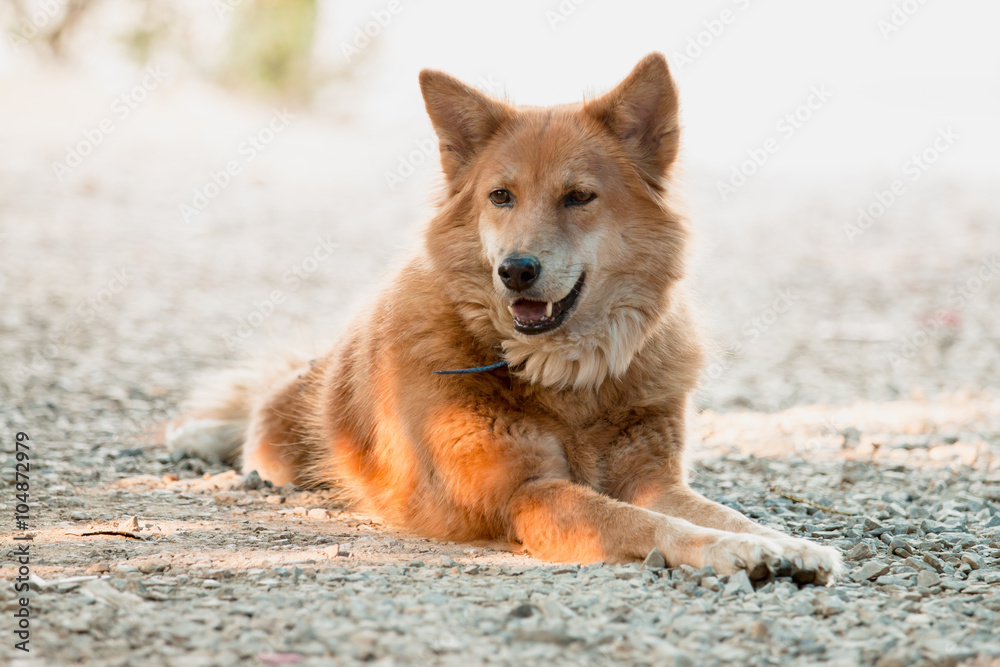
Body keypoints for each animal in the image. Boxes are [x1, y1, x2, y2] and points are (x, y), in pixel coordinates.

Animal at [174, 52, 844, 584]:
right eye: (501, 197)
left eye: (579, 197)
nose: (516, 271)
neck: (565, 373)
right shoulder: (528, 494)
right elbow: (646, 524)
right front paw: (733, 551)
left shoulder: (658, 480)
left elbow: (714, 511)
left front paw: (783, 543)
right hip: (285, 439)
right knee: (257, 417)